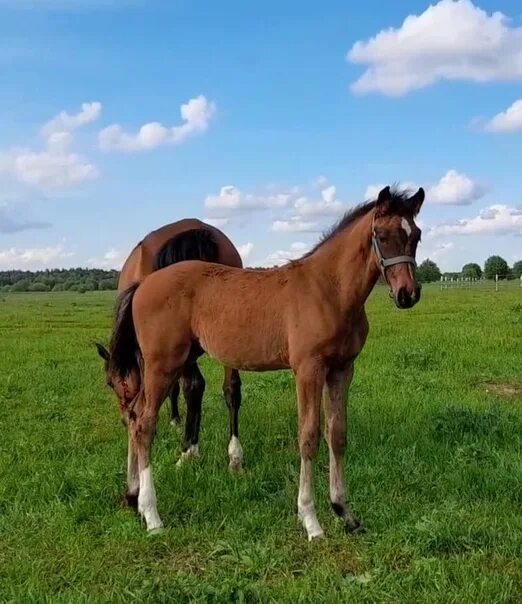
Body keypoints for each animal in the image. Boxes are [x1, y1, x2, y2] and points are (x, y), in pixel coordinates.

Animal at [95, 219, 244, 474]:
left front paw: (175, 421)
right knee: (230, 388)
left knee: (193, 387)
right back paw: (234, 456)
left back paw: (188, 452)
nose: (125, 419)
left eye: (111, 383)